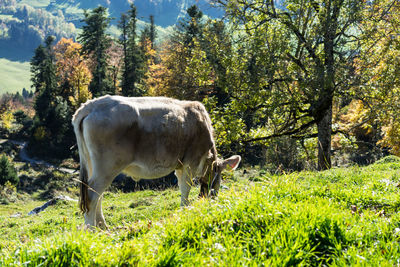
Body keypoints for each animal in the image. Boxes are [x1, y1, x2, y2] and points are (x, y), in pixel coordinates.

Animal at [72, 95, 241, 229]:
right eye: (219, 181)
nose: (212, 200)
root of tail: (91, 106)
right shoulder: (189, 162)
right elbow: (186, 187)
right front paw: (185, 210)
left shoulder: (180, 165)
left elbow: (181, 186)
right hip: (107, 167)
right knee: (92, 194)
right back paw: (92, 230)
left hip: (93, 164)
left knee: (97, 194)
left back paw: (102, 227)